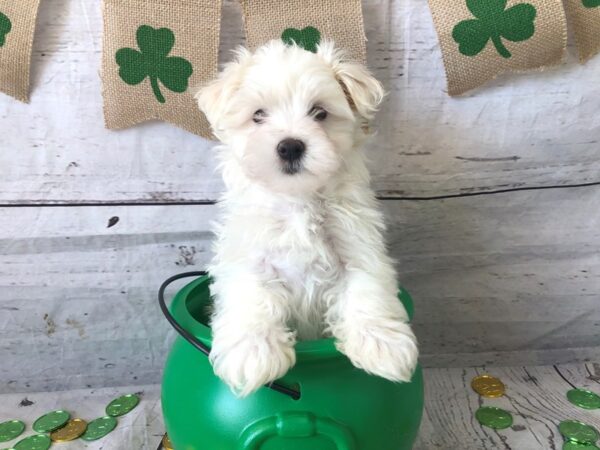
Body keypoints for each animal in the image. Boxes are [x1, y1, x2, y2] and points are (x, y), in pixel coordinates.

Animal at [196, 39, 418, 398]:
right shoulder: (247, 256)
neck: (296, 199)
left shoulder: (358, 247)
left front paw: (382, 346)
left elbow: (367, 289)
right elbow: (253, 295)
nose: (290, 146)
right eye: (258, 115)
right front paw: (253, 352)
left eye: (320, 113)